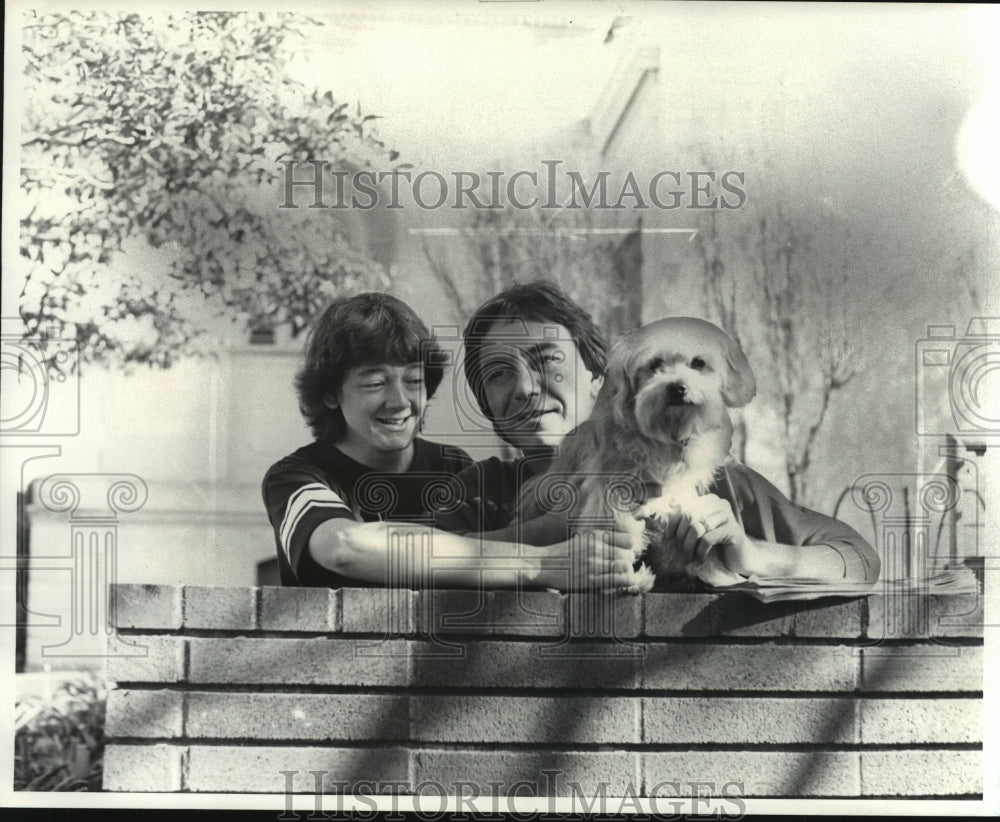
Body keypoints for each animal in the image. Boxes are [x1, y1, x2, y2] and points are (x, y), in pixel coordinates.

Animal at [516, 316, 756, 592]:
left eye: (698, 363)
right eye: (655, 365)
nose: (677, 387)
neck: (664, 435)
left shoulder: (678, 492)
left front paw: (707, 569)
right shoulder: (609, 493)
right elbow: (621, 534)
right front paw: (626, 580)